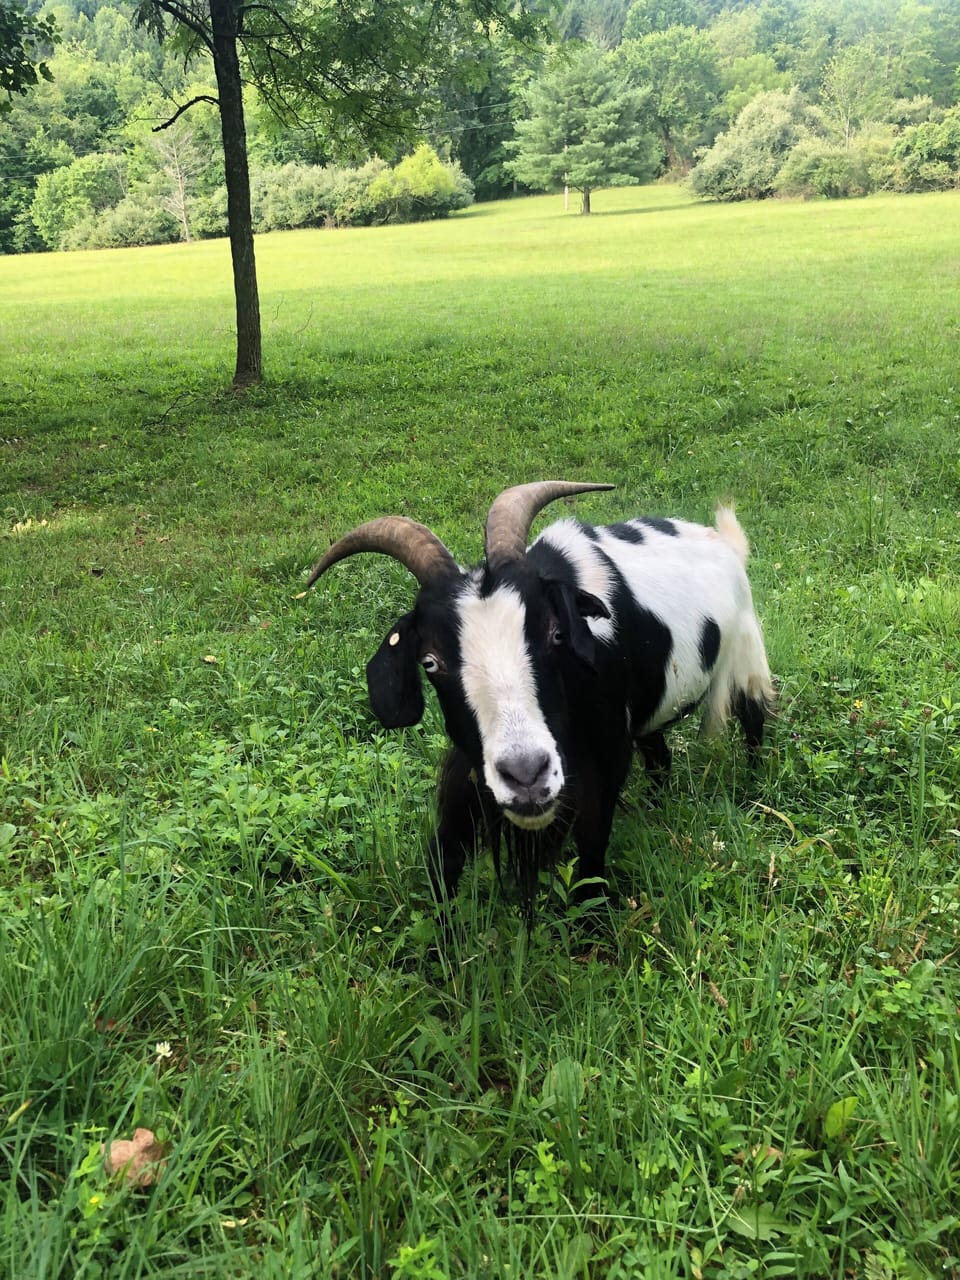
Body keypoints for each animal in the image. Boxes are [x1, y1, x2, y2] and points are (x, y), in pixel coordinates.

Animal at [306, 482, 774, 925]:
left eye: (555, 634)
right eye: (430, 661)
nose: (526, 774)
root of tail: (724, 542)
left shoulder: (604, 760)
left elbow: (591, 859)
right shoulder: (470, 767)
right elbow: (446, 855)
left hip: (747, 659)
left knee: (753, 723)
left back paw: (754, 793)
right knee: (660, 755)